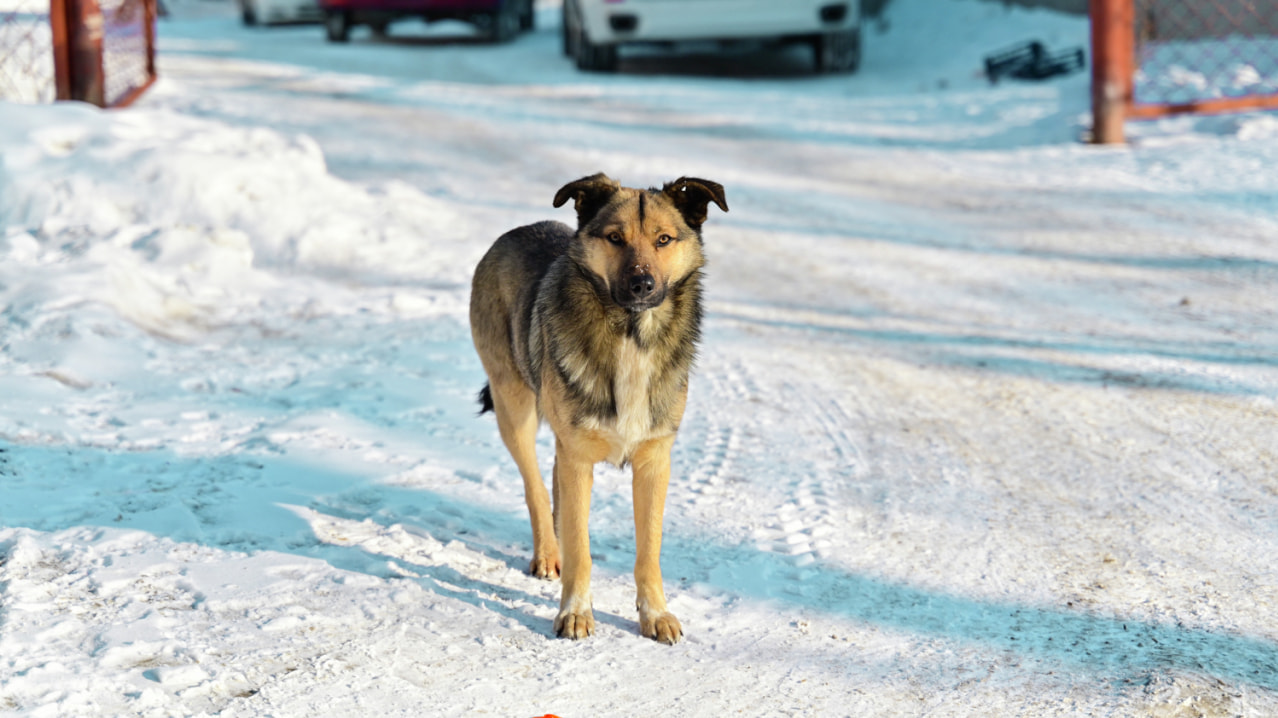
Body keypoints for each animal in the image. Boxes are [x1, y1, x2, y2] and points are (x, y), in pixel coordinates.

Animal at [470, 173, 731, 643]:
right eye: (614, 238)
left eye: (664, 239)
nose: (642, 285)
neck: (631, 334)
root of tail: (516, 232)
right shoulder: (577, 456)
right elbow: (580, 547)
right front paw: (574, 612)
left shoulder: (654, 461)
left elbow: (648, 549)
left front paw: (655, 614)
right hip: (514, 408)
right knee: (536, 486)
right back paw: (547, 552)